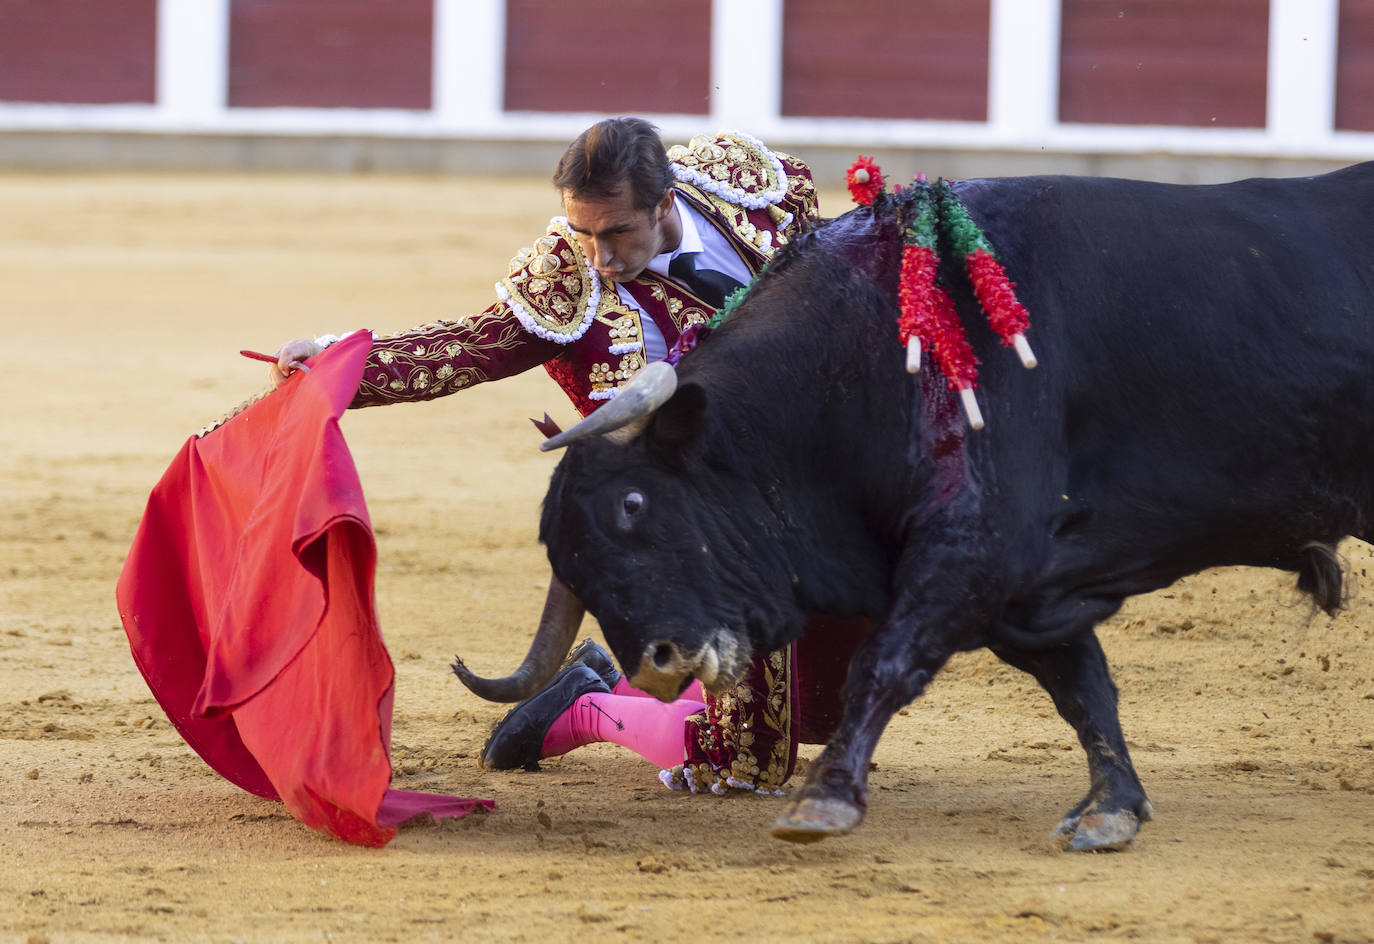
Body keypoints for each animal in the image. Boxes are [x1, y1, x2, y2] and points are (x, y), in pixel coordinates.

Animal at [453, 166, 1374, 851]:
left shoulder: (975, 547)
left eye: (635, 502)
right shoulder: (1016, 579)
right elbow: (1083, 686)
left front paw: (823, 799)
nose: (656, 660)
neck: (864, 357)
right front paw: (1110, 808)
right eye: (569, 561)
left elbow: (885, 663)